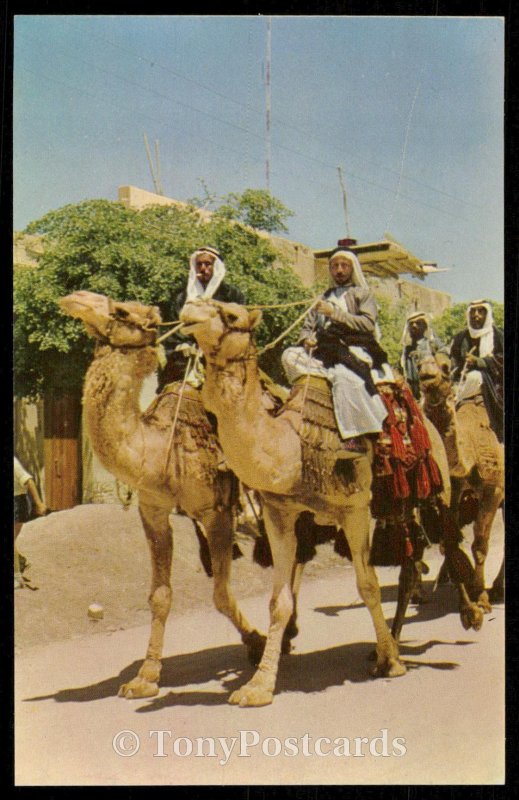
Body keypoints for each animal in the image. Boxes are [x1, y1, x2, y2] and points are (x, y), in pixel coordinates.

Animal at [59, 290, 266, 696]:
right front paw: (145, 677)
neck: (157, 449)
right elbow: (159, 596)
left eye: (122, 310)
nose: (75, 298)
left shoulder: (216, 512)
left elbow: (220, 593)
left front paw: (257, 642)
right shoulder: (153, 512)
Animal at [180, 298, 484, 708]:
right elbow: (279, 602)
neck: (291, 444)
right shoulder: (280, 512)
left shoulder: (353, 510)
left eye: (231, 314)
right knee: (410, 563)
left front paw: (391, 664)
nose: (189, 309)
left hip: (432, 485)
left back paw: (469, 615)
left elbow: (368, 585)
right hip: (395, 504)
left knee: (447, 540)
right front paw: (258, 686)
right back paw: (391, 642)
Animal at [418, 350, 508, 608]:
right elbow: (450, 537)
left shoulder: (494, 489)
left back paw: (496, 589)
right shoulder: (455, 488)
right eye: (419, 364)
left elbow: (480, 544)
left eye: (446, 367)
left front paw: (479, 594)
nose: (427, 373)